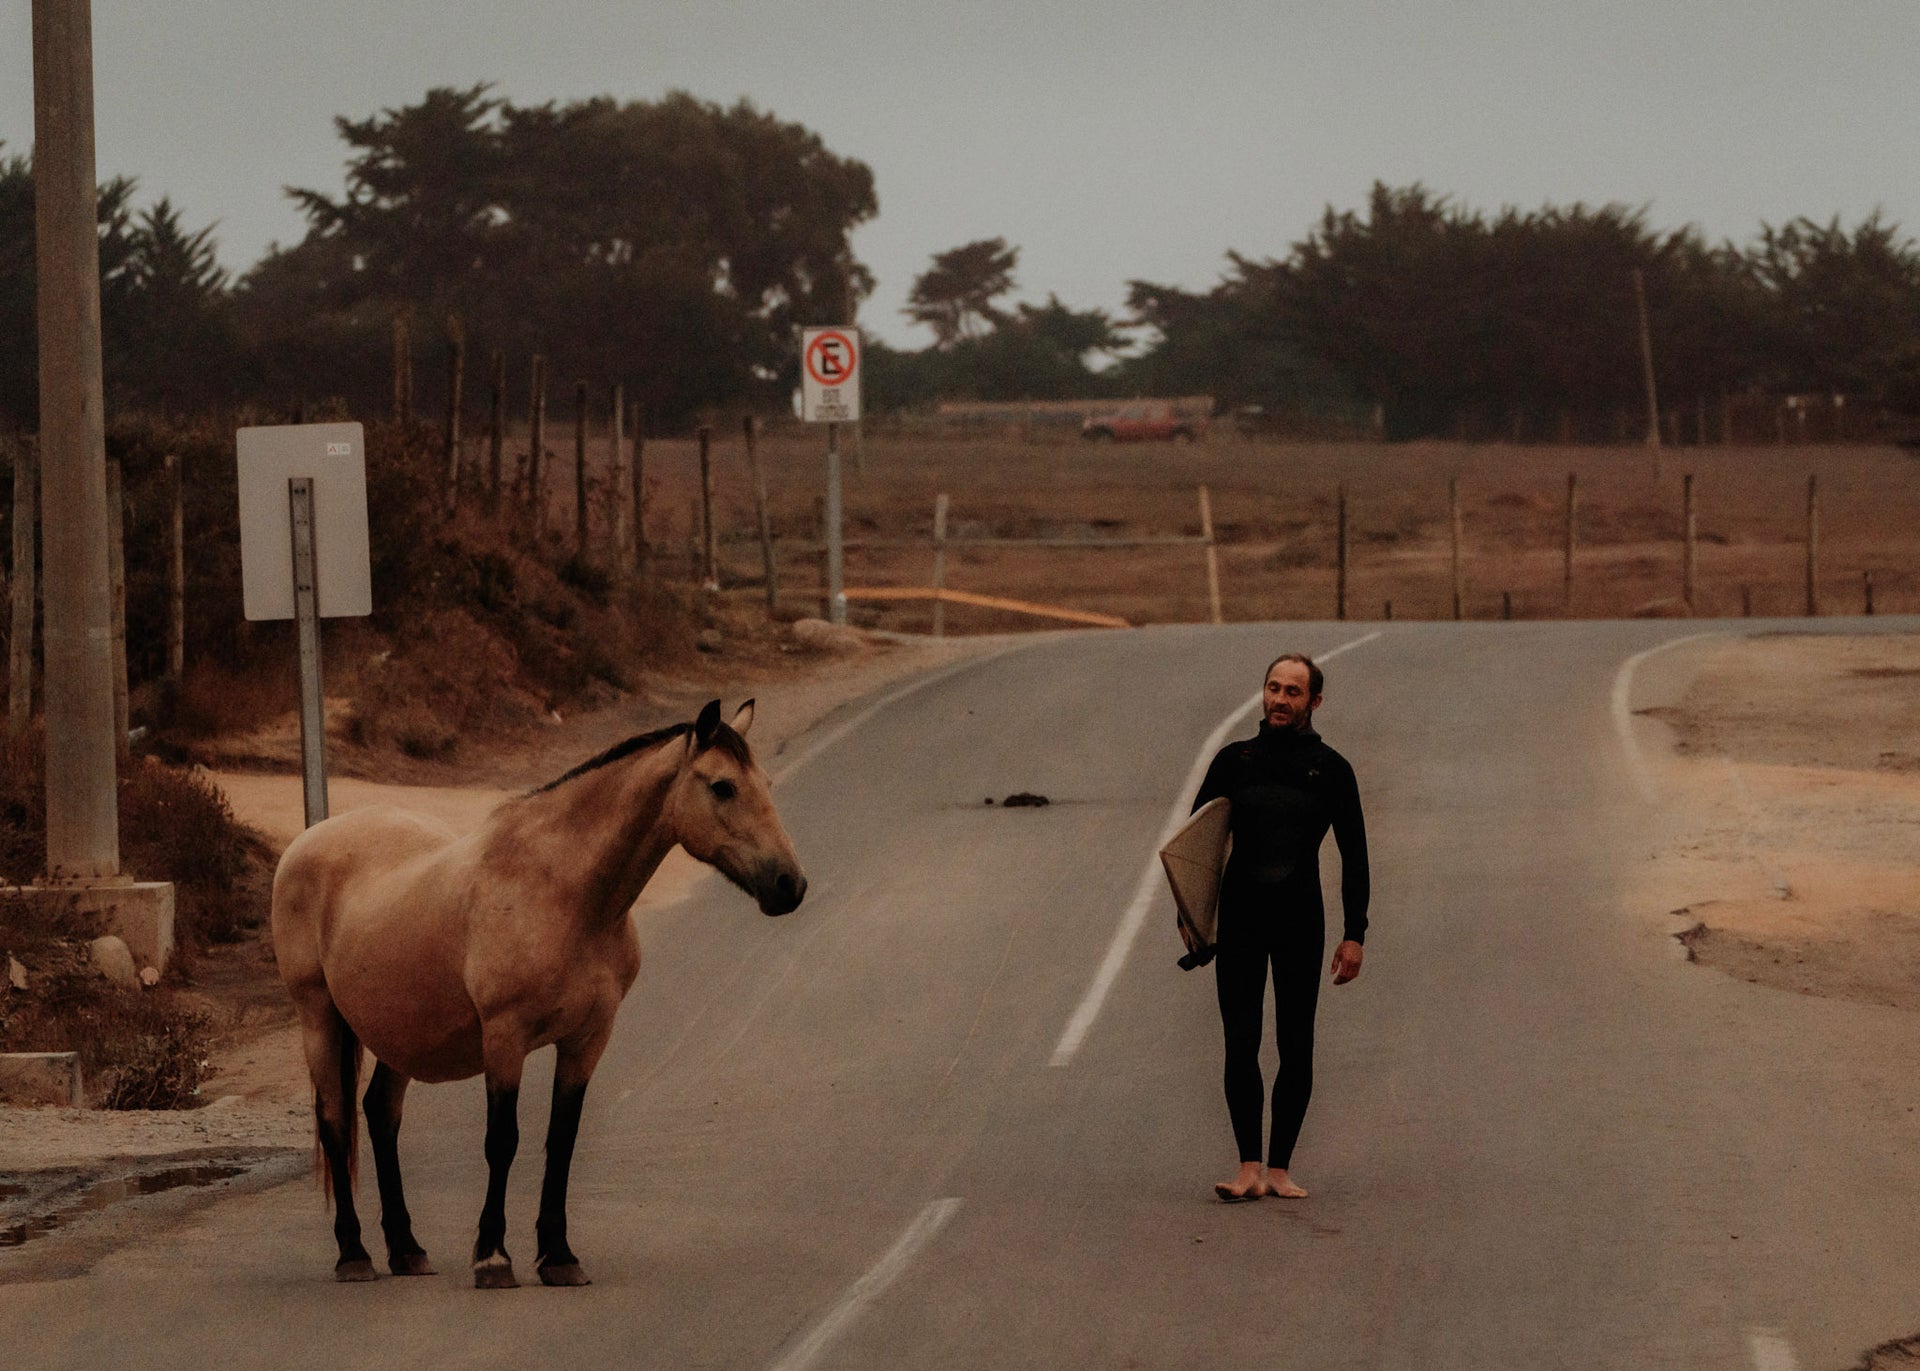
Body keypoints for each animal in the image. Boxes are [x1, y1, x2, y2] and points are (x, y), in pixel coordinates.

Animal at [272, 698, 802, 1290]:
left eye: (765, 783)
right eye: (723, 787)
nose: (789, 885)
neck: (563, 893)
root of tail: (309, 841)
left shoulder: (587, 1040)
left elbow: (561, 1140)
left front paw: (559, 1256)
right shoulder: (506, 1039)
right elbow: (502, 1141)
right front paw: (493, 1258)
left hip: (403, 1031)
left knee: (380, 1113)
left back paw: (407, 1249)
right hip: (319, 1016)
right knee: (335, 1119)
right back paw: (354, 1254)